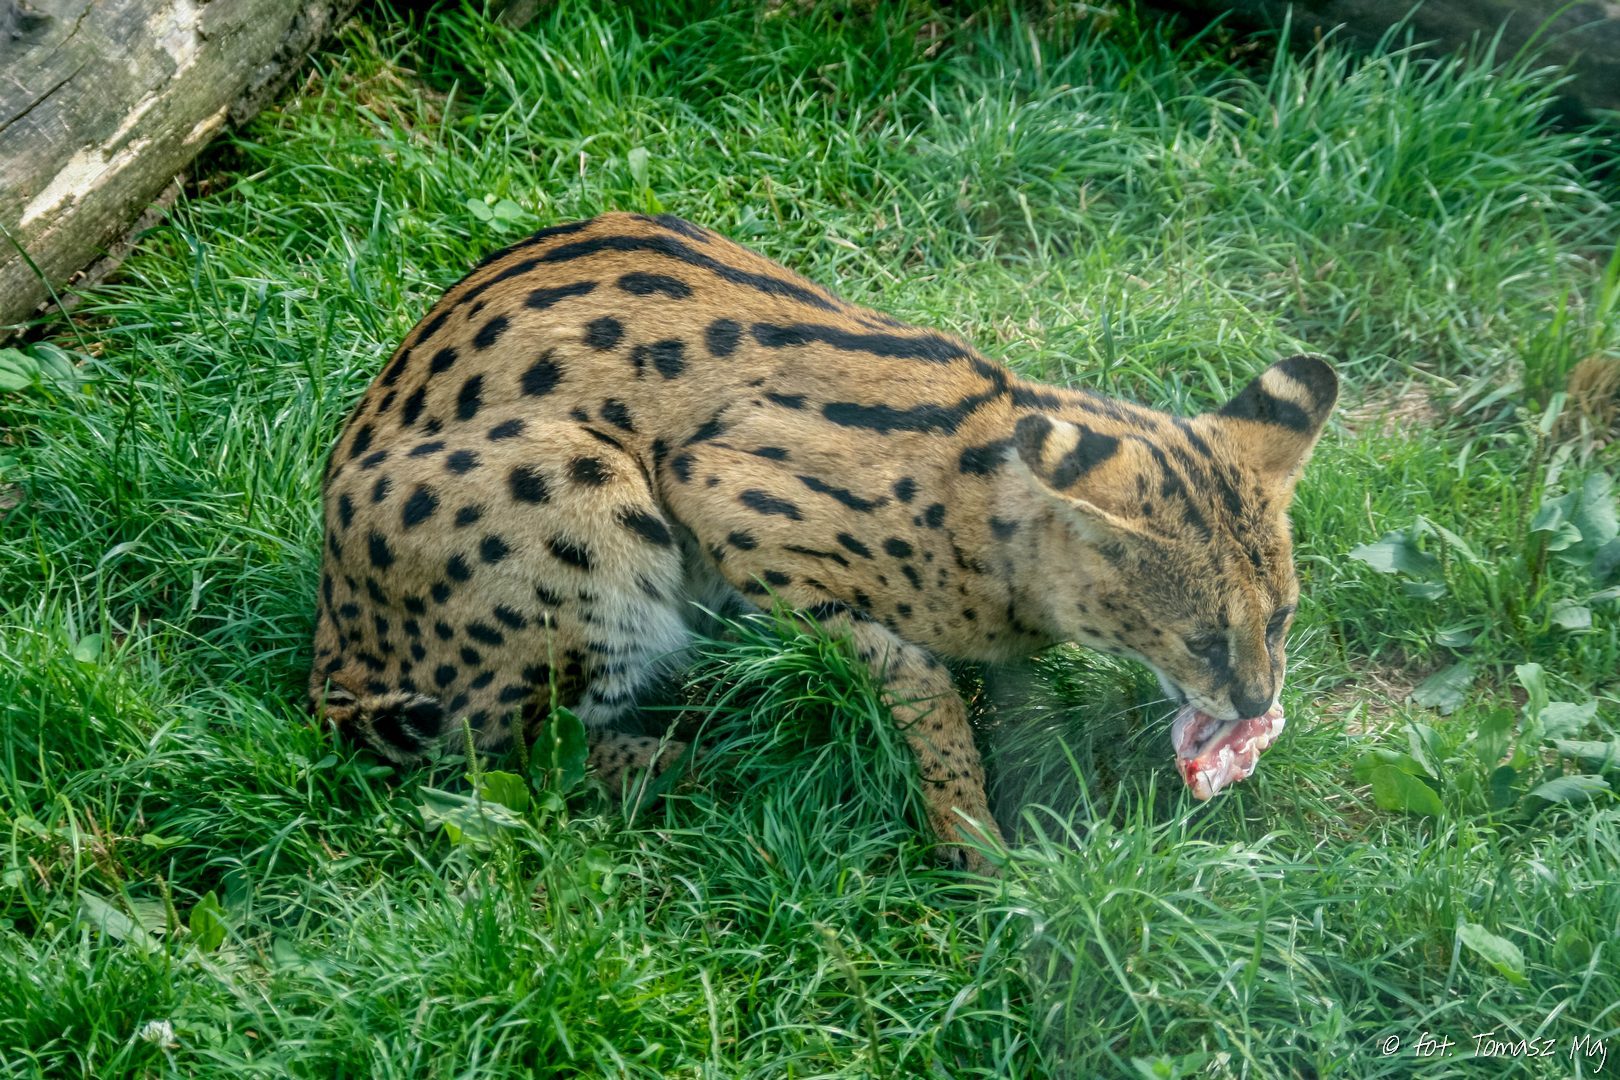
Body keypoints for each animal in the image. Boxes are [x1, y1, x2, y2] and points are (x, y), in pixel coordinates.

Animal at [308, 212, 1338, 873]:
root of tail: (330, 644)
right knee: (511, 749)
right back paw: (699, 765)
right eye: (1201, 638)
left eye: (1282, 618)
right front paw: (973, 840)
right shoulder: (720, 494)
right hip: (581, 491)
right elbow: (918, 678)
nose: (1257, 703)